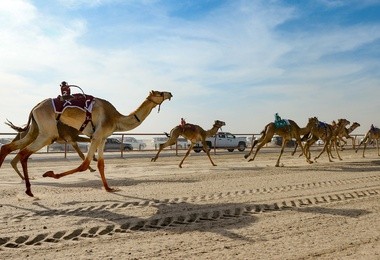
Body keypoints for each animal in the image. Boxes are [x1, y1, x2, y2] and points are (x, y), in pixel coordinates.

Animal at [0, 90, 172, 196]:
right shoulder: (96, 136)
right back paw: (29, 190)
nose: (169, 93)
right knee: (23, 153)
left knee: (7, 147)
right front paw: (50, 173)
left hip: (35, 129)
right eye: (159, 92)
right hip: (48, 133)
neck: (116, 119)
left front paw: (108, 188)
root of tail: (34, 107)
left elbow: (101, 164)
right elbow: (85, 164)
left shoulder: (102, 138)